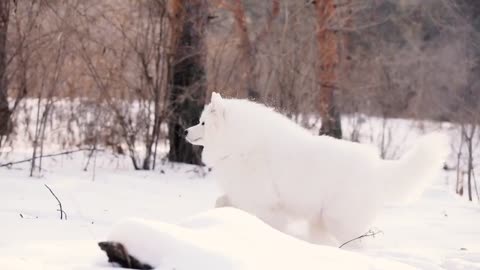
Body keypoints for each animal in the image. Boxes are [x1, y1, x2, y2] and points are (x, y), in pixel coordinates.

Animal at [185, 92, 450, 246]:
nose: (185, 131)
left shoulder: (266, 205)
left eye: (203, 123)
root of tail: (377, 168)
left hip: (340, 222)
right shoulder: (243, 195)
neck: (242, 143)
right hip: (321, 221)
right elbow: (221, 202)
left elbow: (268, 224)